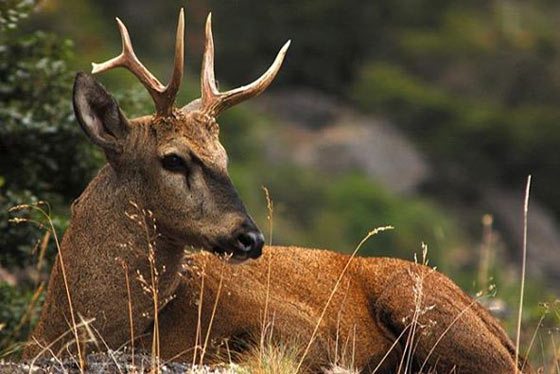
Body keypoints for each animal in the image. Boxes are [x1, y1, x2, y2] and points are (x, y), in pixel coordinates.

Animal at [26, 9, 532, 374]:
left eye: (225, 157)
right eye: (173, 159)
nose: (250, 237)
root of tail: (507, 336)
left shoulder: (305, 331)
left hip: (420, 301)